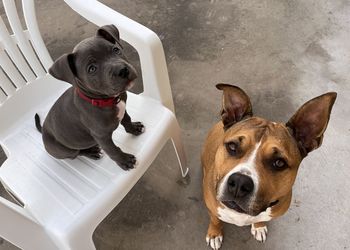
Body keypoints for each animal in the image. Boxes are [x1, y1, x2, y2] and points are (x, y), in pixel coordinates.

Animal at [34, 24, 144, 170]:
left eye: (116, 50)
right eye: (92, 69)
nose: (123, 71)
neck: (105, 100)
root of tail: (43, 133)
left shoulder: (123, 107)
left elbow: (126, 119)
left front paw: (134, 128)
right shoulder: (101, 136)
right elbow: (113, 150)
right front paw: (125, 160)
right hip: (64, 150)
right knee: (77, 152)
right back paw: (92, 152)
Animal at [202, 84, 336, 248]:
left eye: (279, 163)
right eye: (232, 146)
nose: (240, 183)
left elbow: (261, 219)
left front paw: (259, 227)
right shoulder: (211, 207)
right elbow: (215, 220)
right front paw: (214, 234)